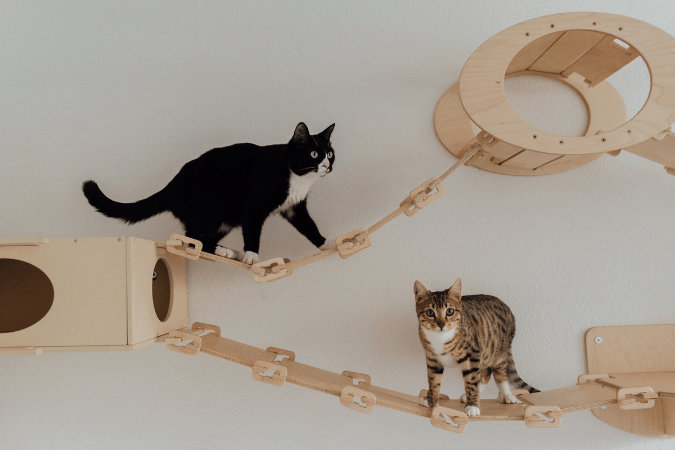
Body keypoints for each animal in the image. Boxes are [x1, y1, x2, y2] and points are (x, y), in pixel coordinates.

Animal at [83, 121, 336, 266]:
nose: (327, 165)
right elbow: (252, 230)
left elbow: (309, 226)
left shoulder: (295, 208)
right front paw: (252, 257)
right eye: (314, 154)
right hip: (213, 204)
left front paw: (326, 244)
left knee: (202, 237)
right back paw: (226, 252)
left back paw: (226, 251)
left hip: (226, 218)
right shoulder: (254, 205)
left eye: (330, 153)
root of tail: (171, 185)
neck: (297, 177)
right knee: (193, 237)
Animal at [412, 280, 540, 416]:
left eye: (450, 311)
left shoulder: (472, 354)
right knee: (485, 373)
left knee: (498, 374)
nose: (441, 325)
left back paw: (507, 395)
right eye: (430, 312)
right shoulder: (432, 358)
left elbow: (471, 380)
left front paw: (472, 405)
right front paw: (430, 400)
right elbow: (433, 380)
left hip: (498, 351)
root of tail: (508, 309)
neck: (441, 339)